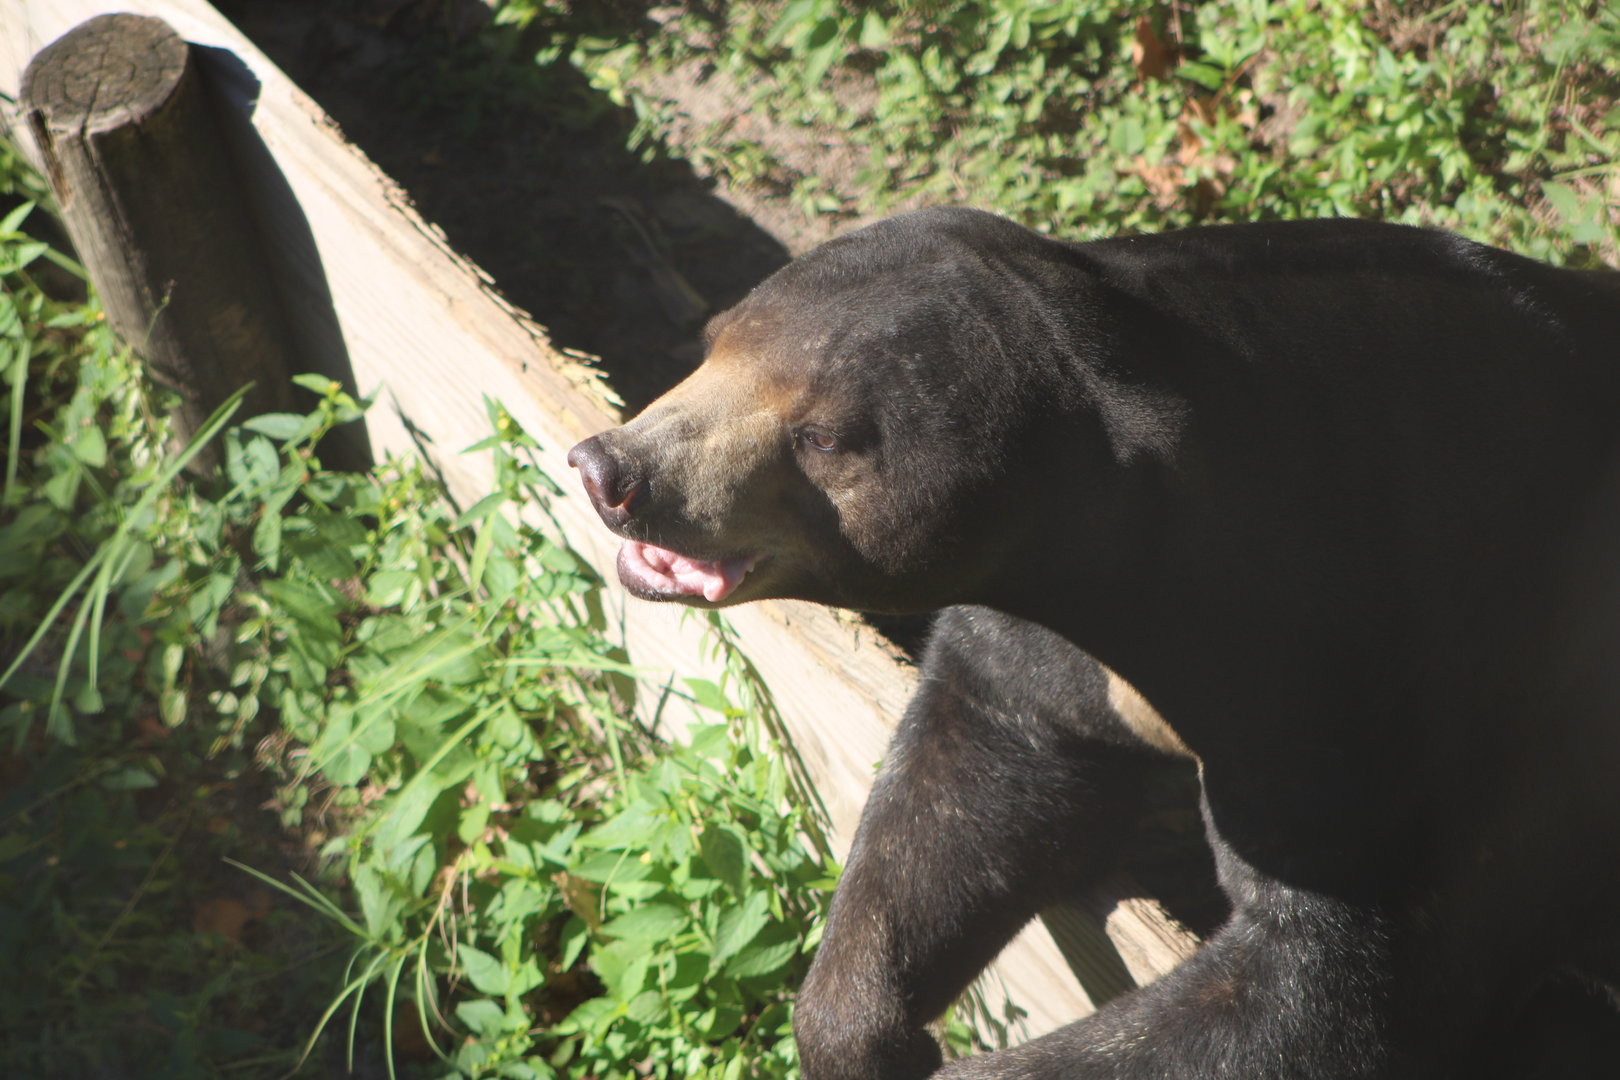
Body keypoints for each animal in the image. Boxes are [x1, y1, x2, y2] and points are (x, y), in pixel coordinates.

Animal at [566, 207, 1620, 1078]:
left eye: (822, 438)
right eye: (713, 346)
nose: (612, 471)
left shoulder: (1405, 707)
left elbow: (1325, 987)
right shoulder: (1053, 645)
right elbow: (973, 772)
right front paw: (865, 1033)